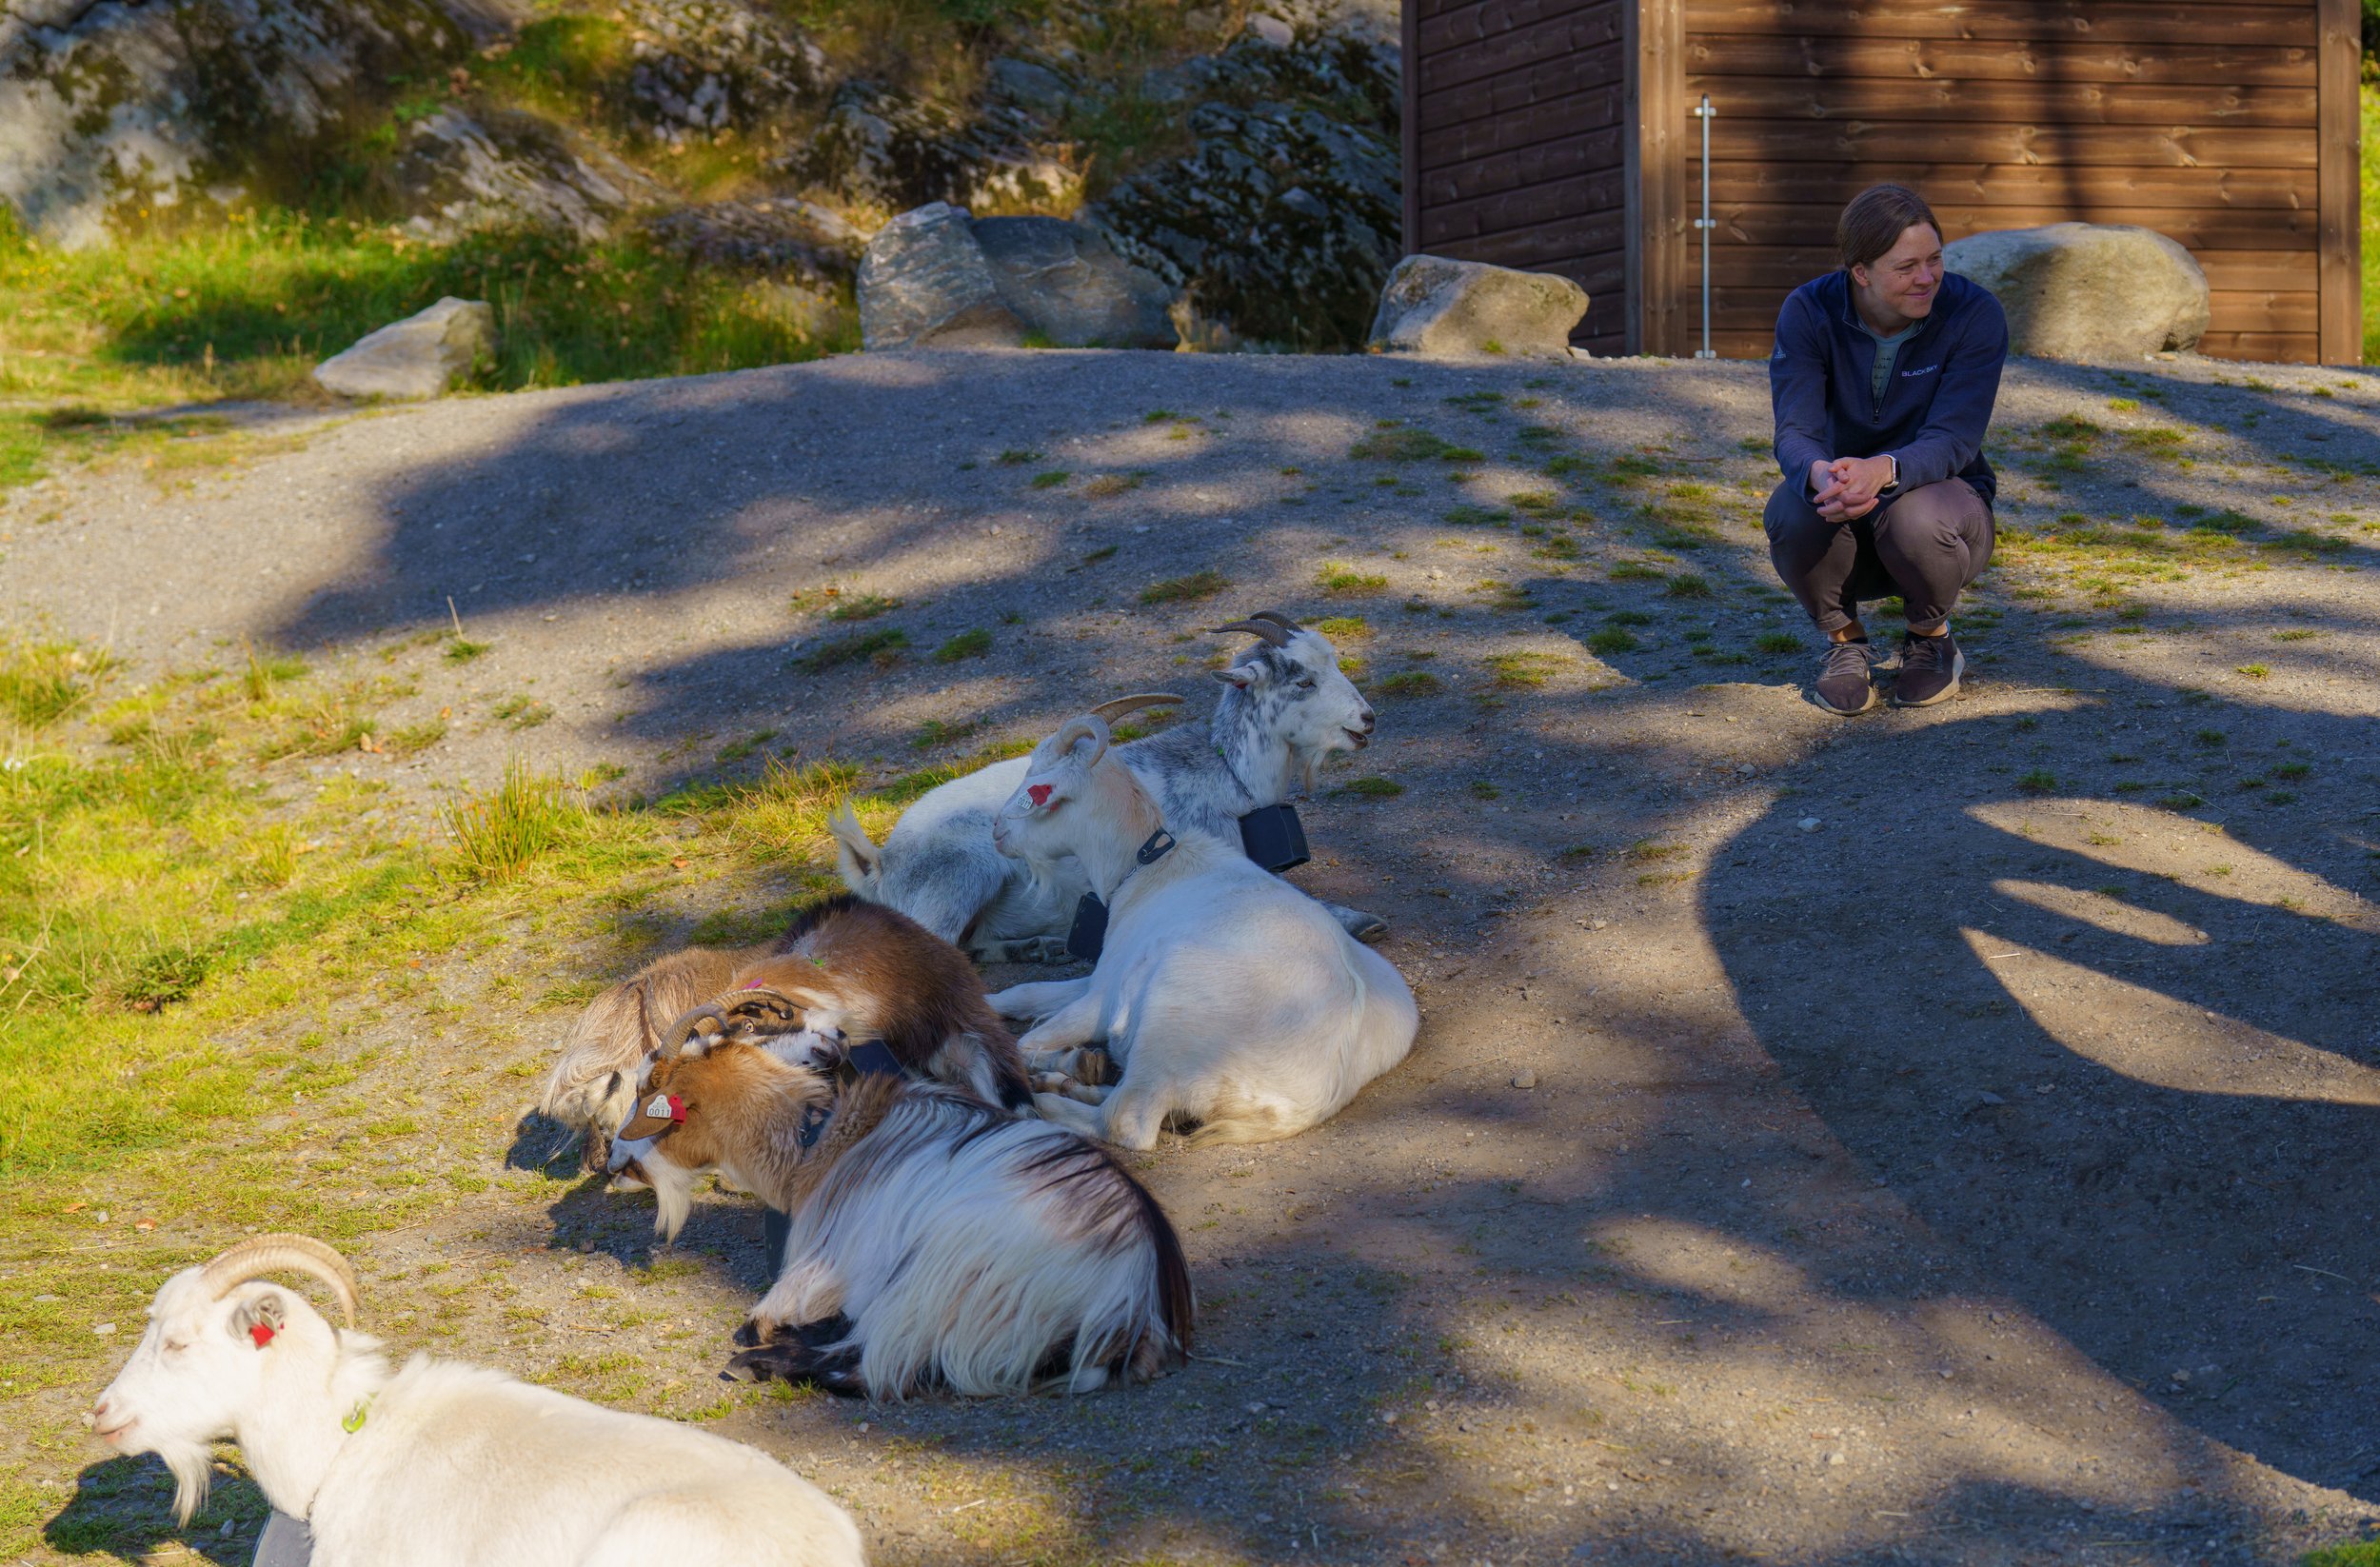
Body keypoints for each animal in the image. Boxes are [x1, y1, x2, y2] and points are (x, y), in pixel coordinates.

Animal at [605, 1029, 1192, 1398]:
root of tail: (1131, 1298)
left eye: (649, 1097)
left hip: (946, 1274)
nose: (611, 1159)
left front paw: (771, 1339)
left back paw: (757, 1365)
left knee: (881, 1366)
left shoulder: (835, 1259)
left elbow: (759, 1321)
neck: (821, 1139)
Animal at [829, 611, 1384, 961]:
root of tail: (881, 865)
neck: (1228, 773)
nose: (1367, 719)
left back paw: (1039, 948)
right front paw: (1361, 920)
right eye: (1303, 681)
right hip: (963, 875)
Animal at [984, 711, 1418, 1148]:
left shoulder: (1104, 995)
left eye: (1038, 786)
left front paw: (1068, 1061)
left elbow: (1026, 1042)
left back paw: (1047, 1098)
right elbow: (1024, 993)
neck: (1151, 869)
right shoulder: (1099, 976)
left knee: (1127, 1120)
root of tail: (1304, 1102)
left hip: (1168, 1020)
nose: (997, 829)